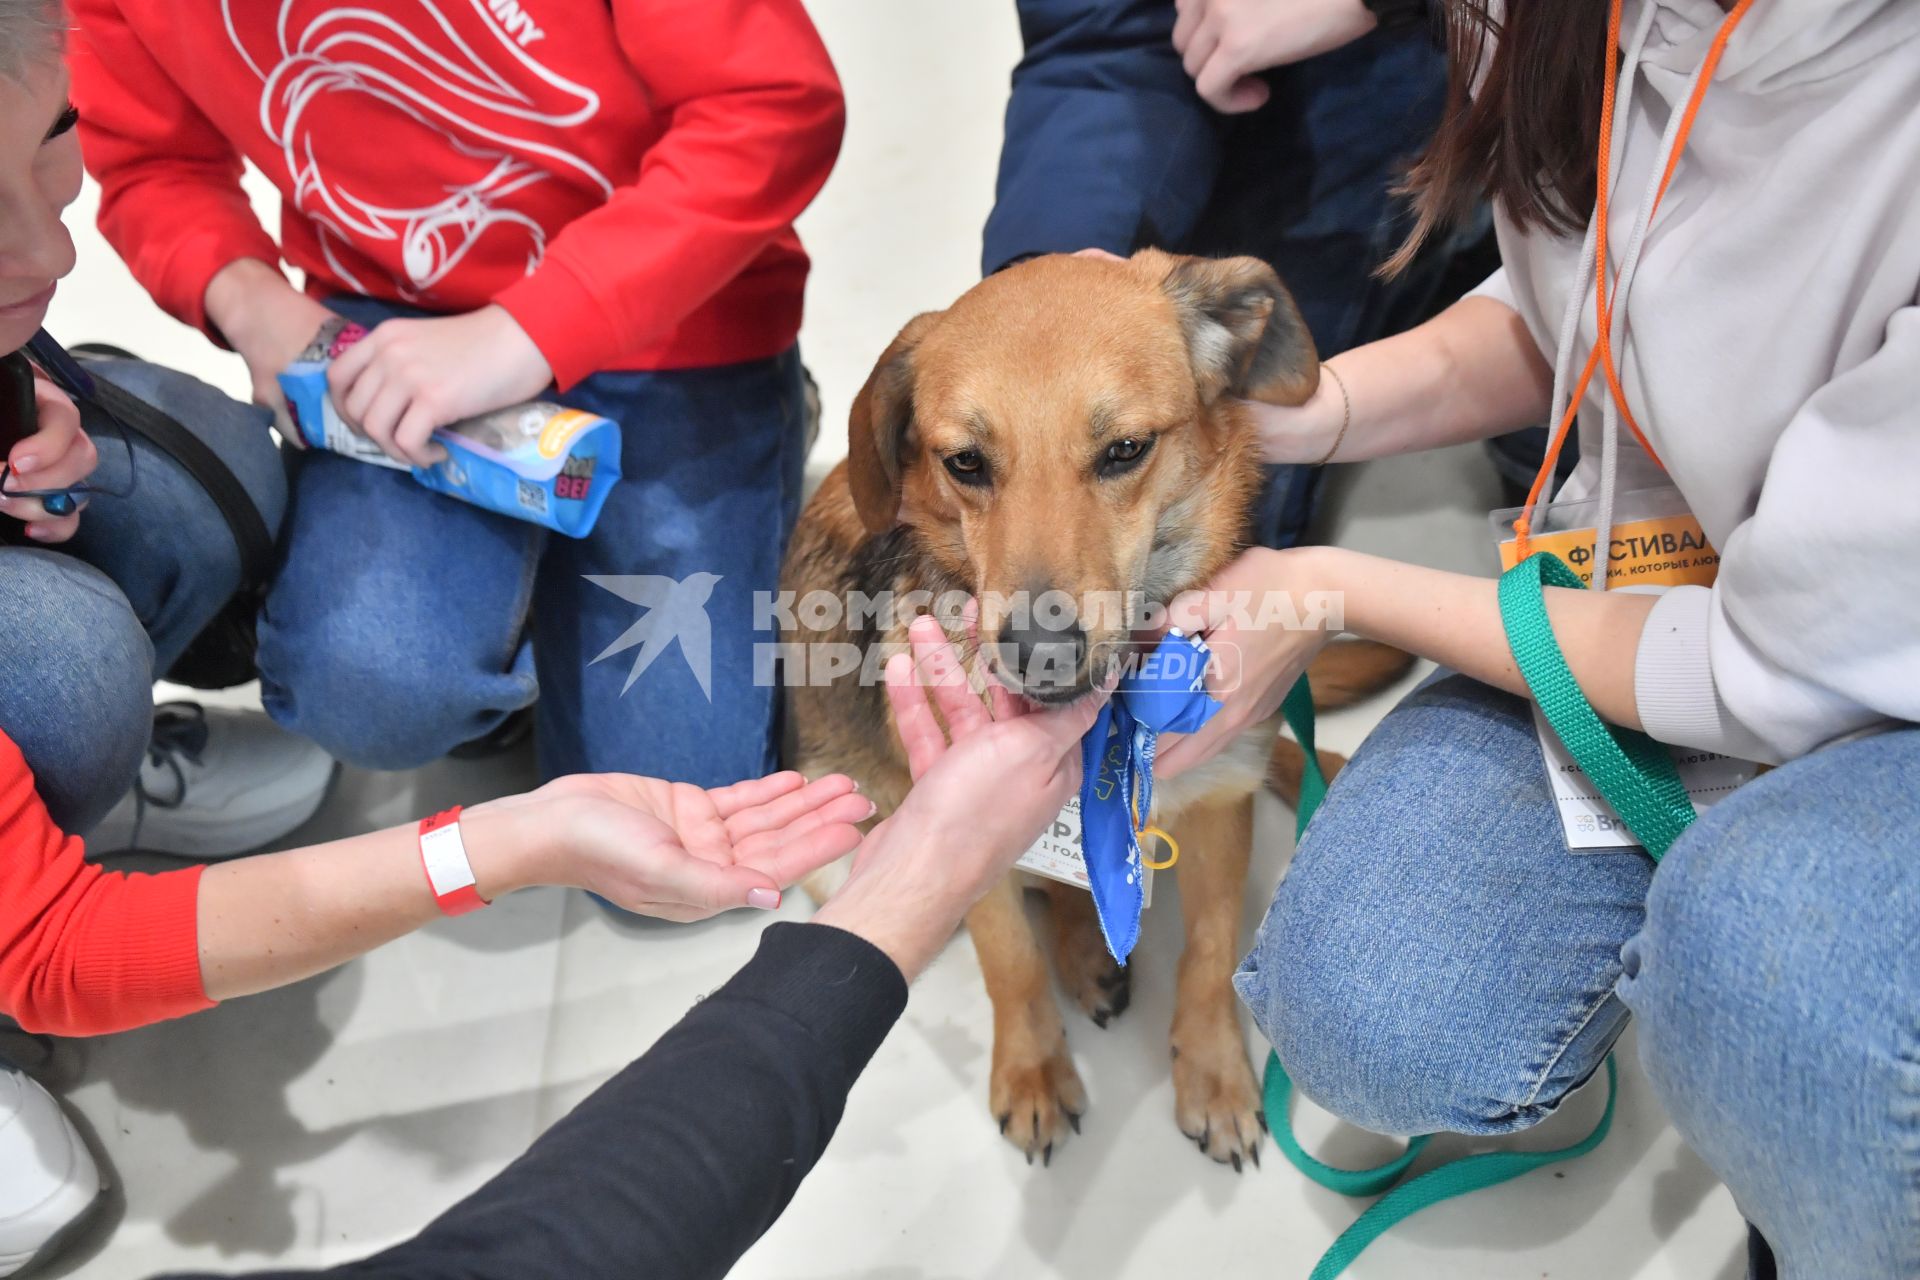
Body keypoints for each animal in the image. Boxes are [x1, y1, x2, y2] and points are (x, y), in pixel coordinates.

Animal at [779, 247, 1413, 1174]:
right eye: (965, 463)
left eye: (1124, 450)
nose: (1039, 654)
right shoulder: (963, 832)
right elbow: (1010, 962)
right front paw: (1035, 1072)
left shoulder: (1221, 800)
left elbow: (1211, 952)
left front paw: (1215, 1077)